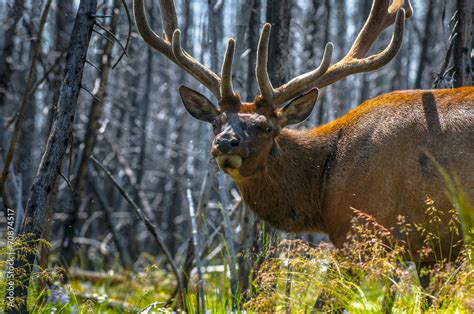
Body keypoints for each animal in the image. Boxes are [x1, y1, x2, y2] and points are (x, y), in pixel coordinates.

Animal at [133, 0, 474, 262]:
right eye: (215, 122)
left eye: (266, 127)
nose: (226, 143)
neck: (323, 188)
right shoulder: (430, 253)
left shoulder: (367, 231)